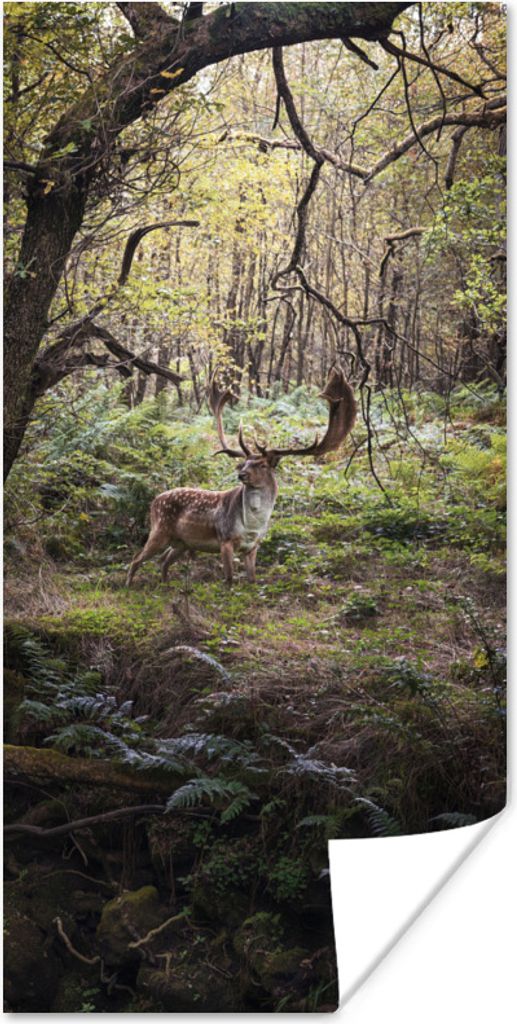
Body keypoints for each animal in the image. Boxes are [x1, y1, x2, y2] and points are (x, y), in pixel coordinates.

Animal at [126, 367, 356, 587]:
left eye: (262, 464)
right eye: (243, 463)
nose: (241, 474)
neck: (252, 526)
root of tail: (154, 500)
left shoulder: (253, 547)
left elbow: (252, 580)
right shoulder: (225, 539)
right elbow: (229, 579)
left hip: (182, 542)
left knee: (163, 561)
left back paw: (165, 585)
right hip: (160, 530)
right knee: (136, 558)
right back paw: (129, 585)